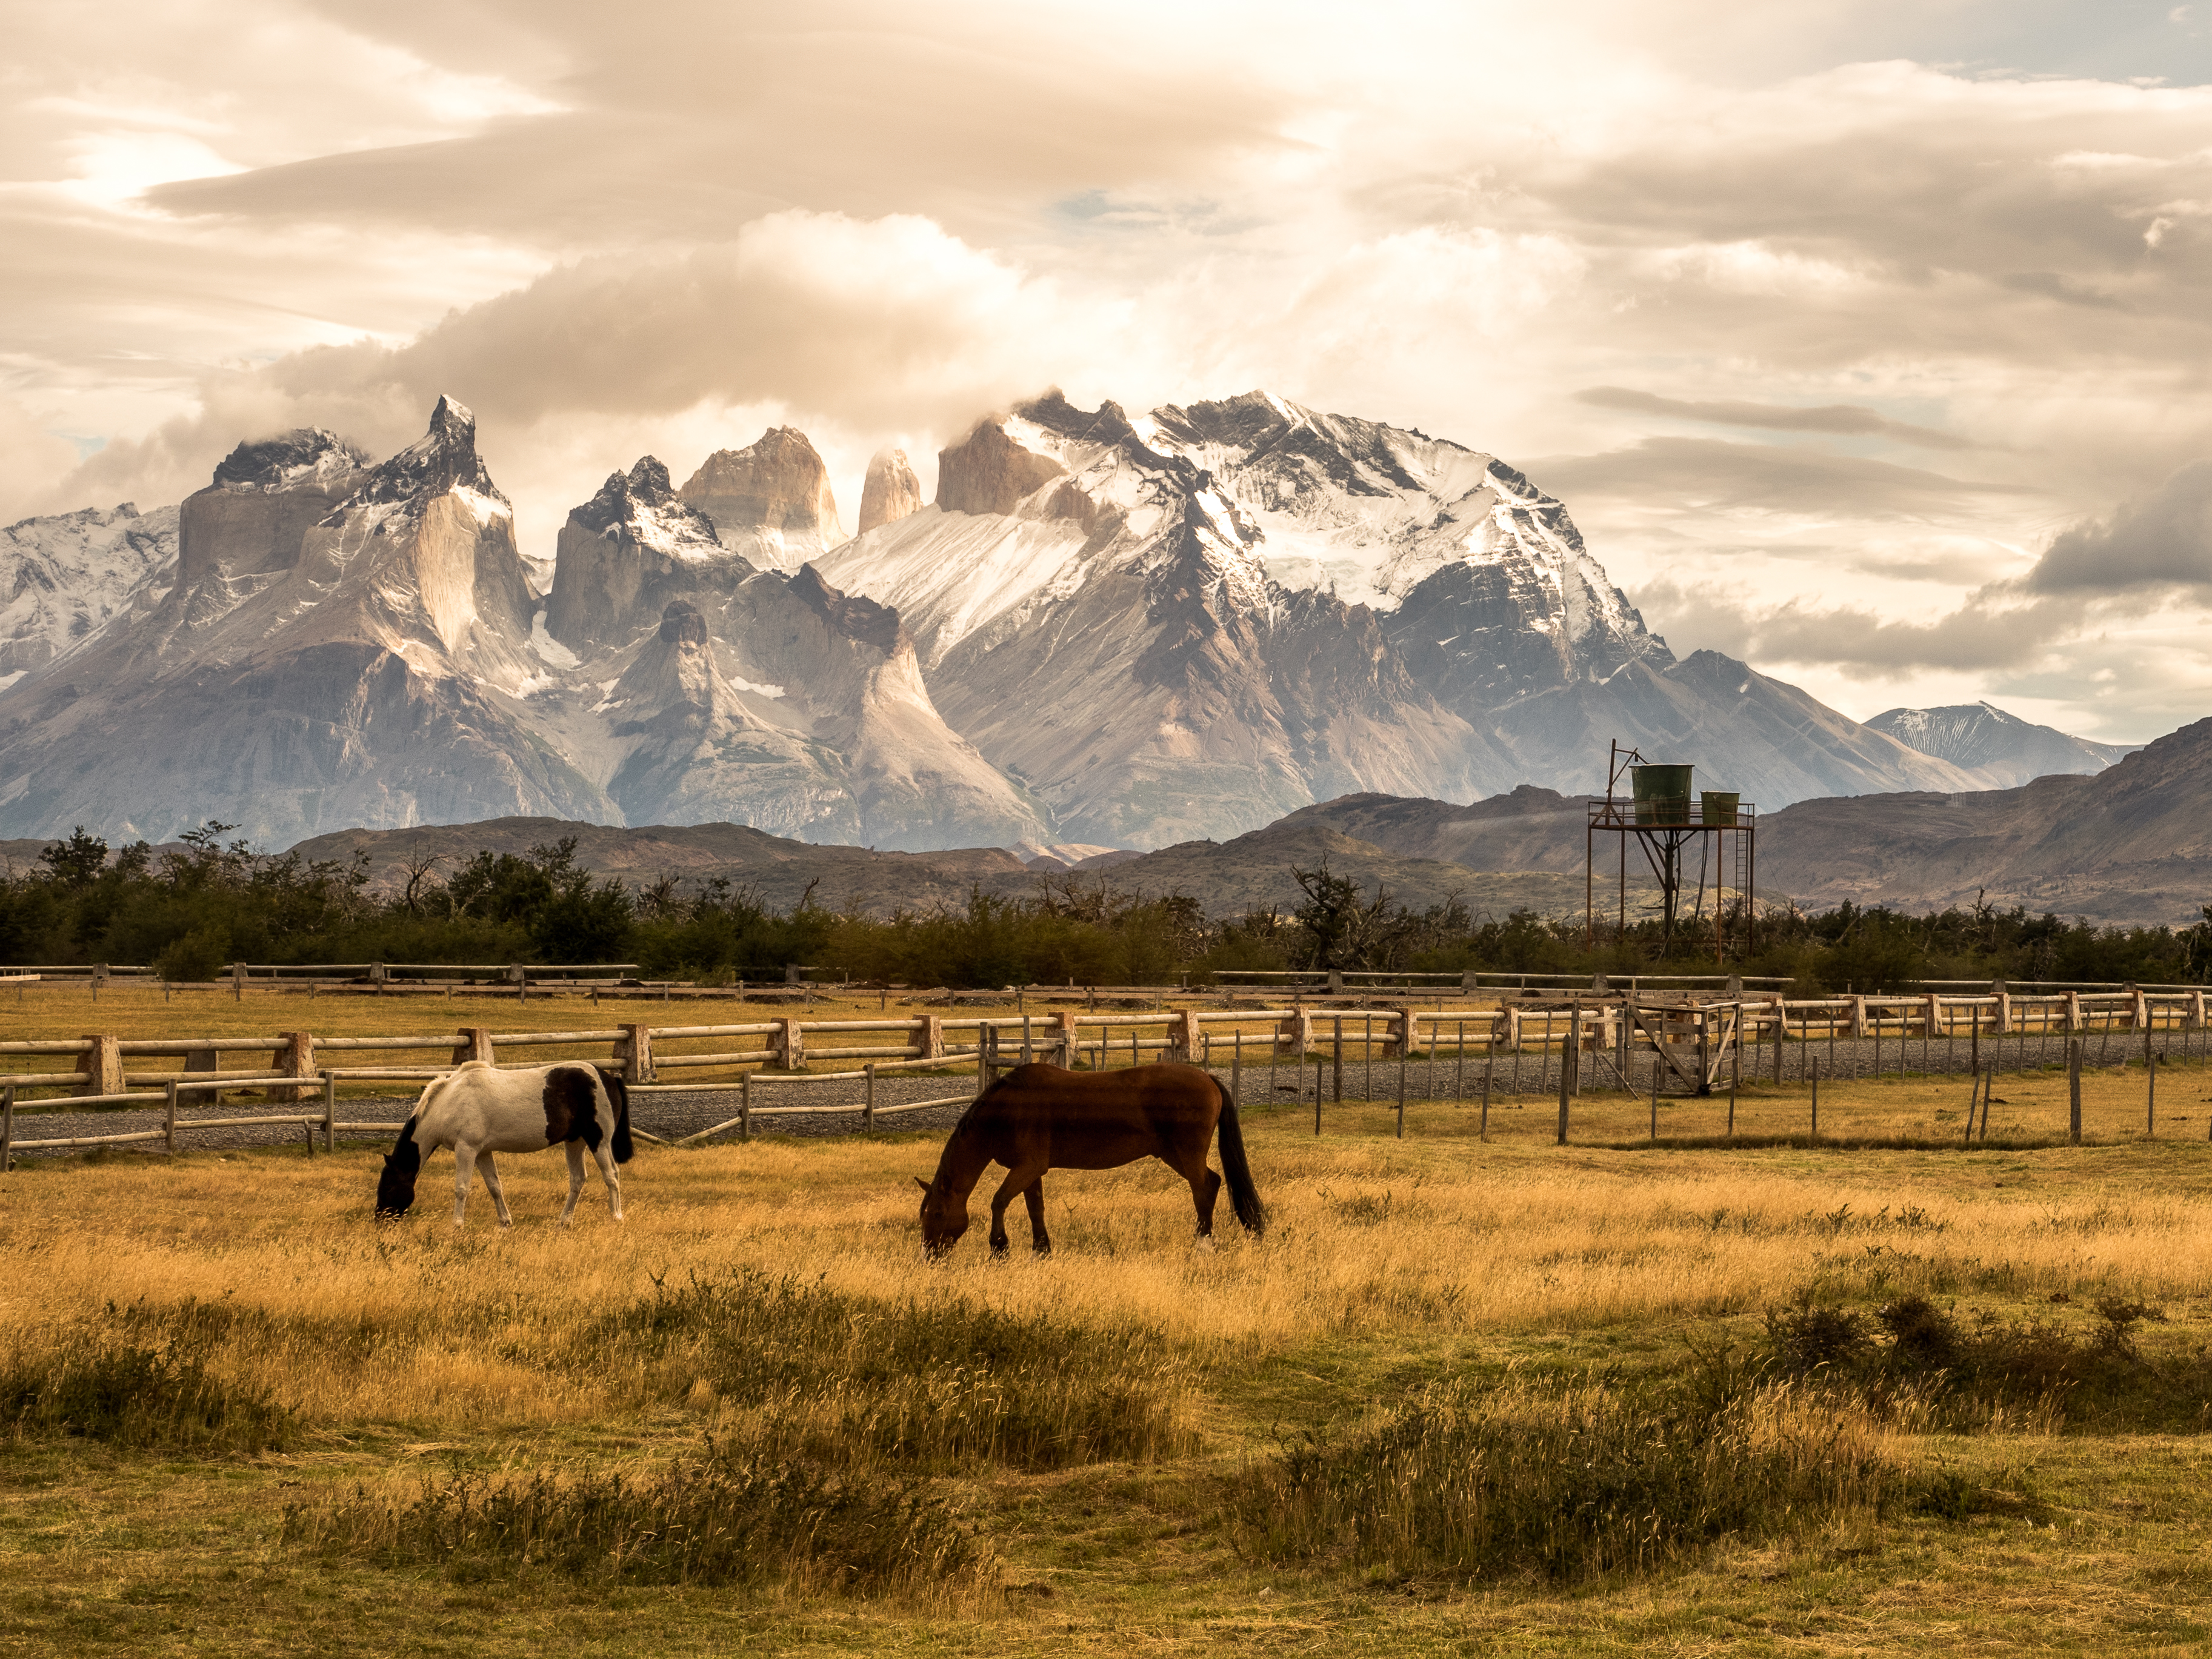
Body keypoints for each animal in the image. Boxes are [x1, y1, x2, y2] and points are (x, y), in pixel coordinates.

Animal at [378, 1070, 637, 1229]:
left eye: (389, 1187)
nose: (380, 1219)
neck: (450, 1102)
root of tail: (609, 1078)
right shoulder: (482, 1153)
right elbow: (495, 1187)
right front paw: (505, 1222)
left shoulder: (466, 1149)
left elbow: (461, 1189)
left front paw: (457, 1224)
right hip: (575, 1142)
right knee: (578, 1180)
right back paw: (564, 1222)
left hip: (598, 1141)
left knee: (611, 1176)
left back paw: (617, 1217)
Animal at [911, 1066, 1265, 1256]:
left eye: (939, 1213)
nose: (930, 1254)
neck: (1008, 1109)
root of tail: (1207, 1077)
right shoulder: (1030, 1171)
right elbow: (1035, 1209)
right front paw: (1042, 1251)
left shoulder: (1027, 1167)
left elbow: (998, 1201)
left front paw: (1000, 1248)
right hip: (1172, 1154)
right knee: (1213, 1182)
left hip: (1187, 1154)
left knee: (1202, 1189)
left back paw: (1202, 1245)